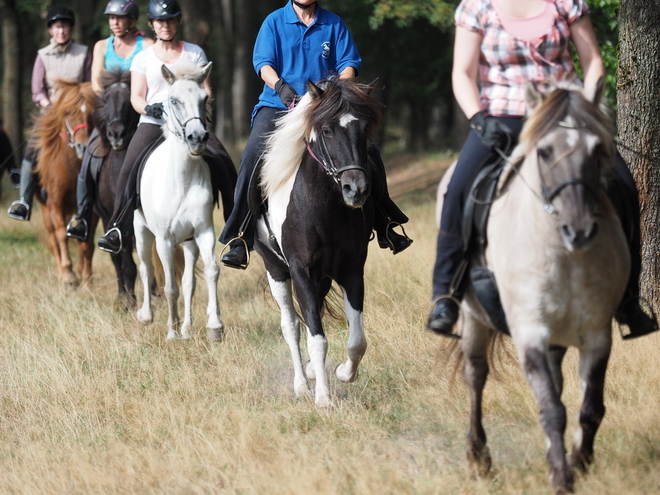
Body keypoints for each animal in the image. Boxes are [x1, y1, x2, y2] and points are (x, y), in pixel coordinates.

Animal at [256, 77, 382, 408]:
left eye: (364, 128)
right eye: (327, 131)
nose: (356, 189)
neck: (324, 208)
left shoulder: (351, 270)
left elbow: (357, 340)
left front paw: (341, 374)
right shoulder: (300, 272)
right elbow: (316, 338)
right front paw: (323, 399)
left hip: (323, 277)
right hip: (276, 269)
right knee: (291, 326)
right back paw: (301, 384)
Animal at [438, 79, 628, 494]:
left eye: (598, 149)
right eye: (544, 151)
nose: (579, 229)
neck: (563, 253)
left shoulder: (597, 335)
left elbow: (590, 408)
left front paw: (579, 461)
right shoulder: (530, 331)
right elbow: (552, 409)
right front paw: (561, 477)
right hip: (474, 319)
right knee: (475, 376)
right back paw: (478, 457)